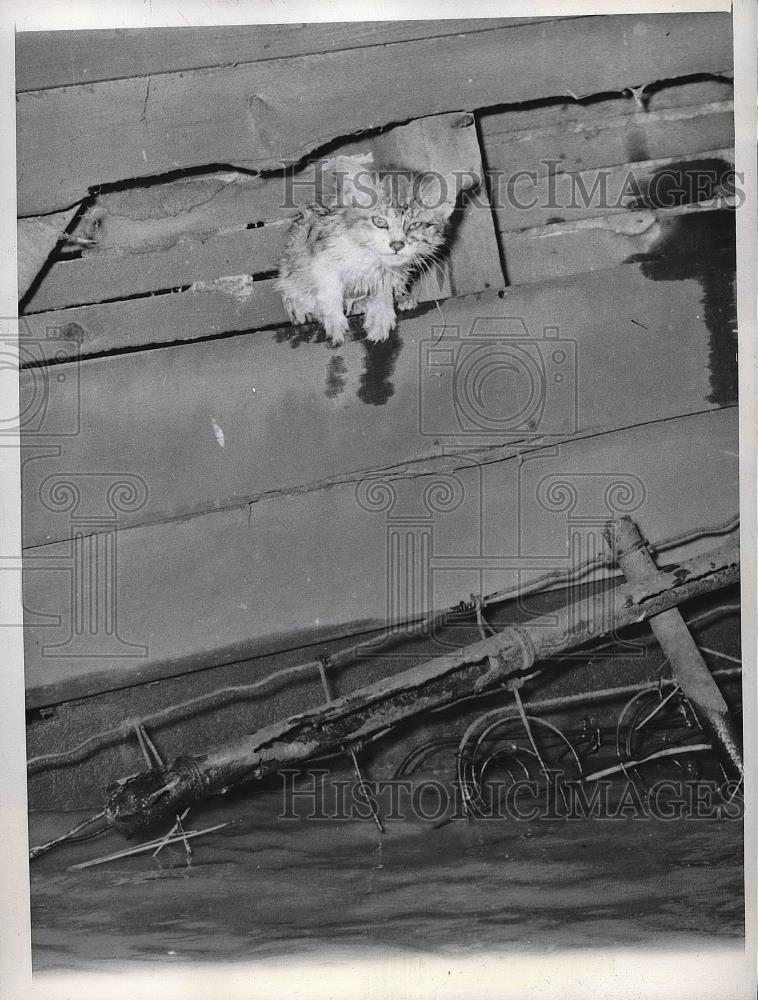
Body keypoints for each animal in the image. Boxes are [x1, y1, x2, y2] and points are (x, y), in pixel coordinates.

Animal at [278, 154, 458, 346]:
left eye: (415, 225)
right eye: (379, 222)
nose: (397, 245)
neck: (366, 252)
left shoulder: (391, 269)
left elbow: (383, 283)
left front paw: (380, 313)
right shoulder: (321, 247)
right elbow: (328, 285)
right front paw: (333, 319)